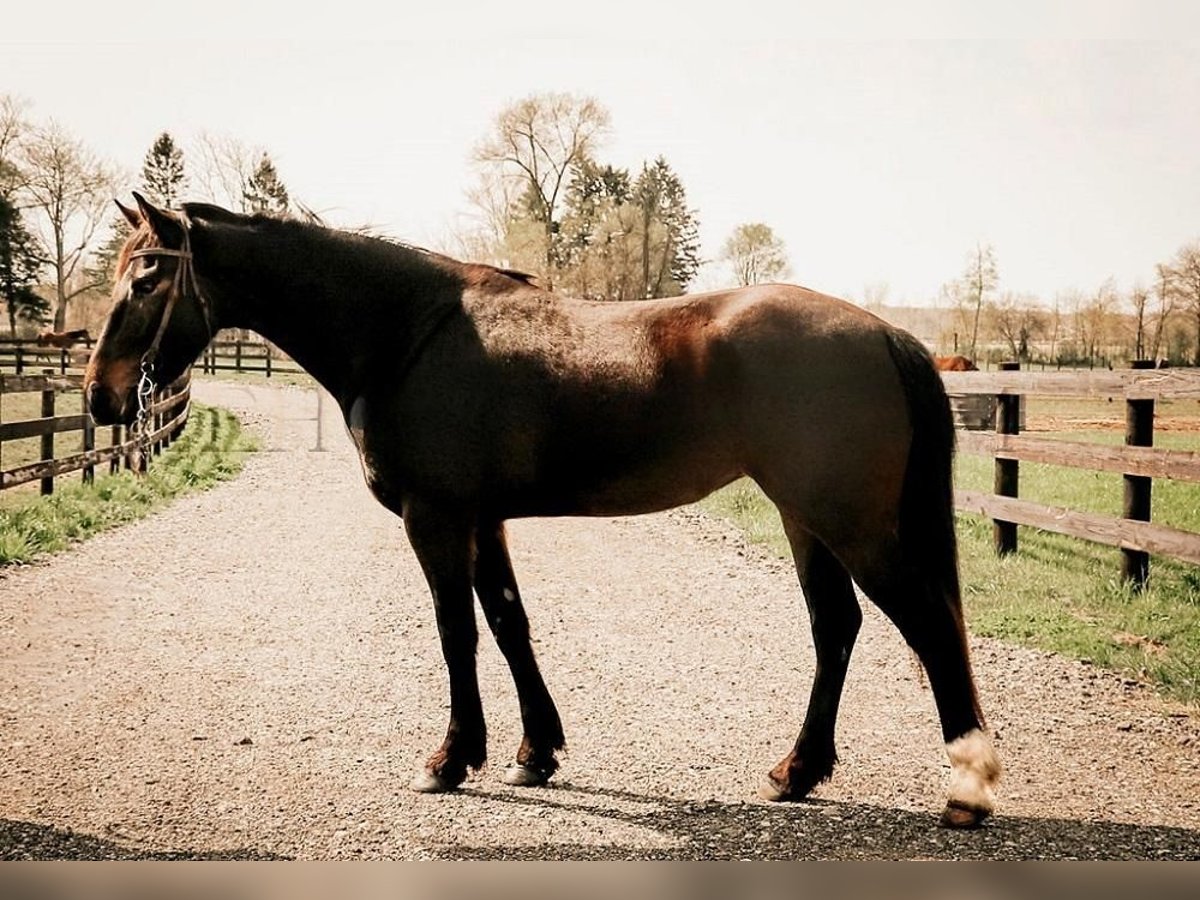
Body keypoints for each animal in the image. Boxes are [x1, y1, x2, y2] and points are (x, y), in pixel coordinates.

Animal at [82, 195, 1003, 830]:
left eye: (148, 275)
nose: (101, 397)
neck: (405, 335)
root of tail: (883, 333)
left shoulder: (436, 517)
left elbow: (456, 629)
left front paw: (451, 759)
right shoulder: (483, 519)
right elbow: (508, 621)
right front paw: (535, 752)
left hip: (847, 523)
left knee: (926, 624)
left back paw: (967, 788)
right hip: (804, 520)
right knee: (837, 627)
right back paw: (796, 772)